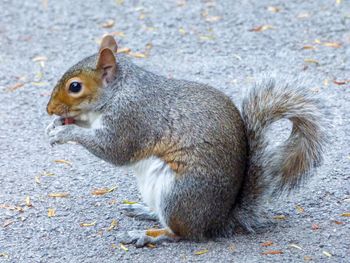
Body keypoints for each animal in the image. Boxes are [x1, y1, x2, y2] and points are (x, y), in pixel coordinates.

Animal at [45, 35, 326, 248]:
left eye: (75, 87)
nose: (49, 109)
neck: (118, 92)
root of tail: (219, 221)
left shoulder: (132, 118)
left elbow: (114, 150)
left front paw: (64, 134)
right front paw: (57, 125)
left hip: (178, 193)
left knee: (183, 233)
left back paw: (148, 236)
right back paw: (146, 212)